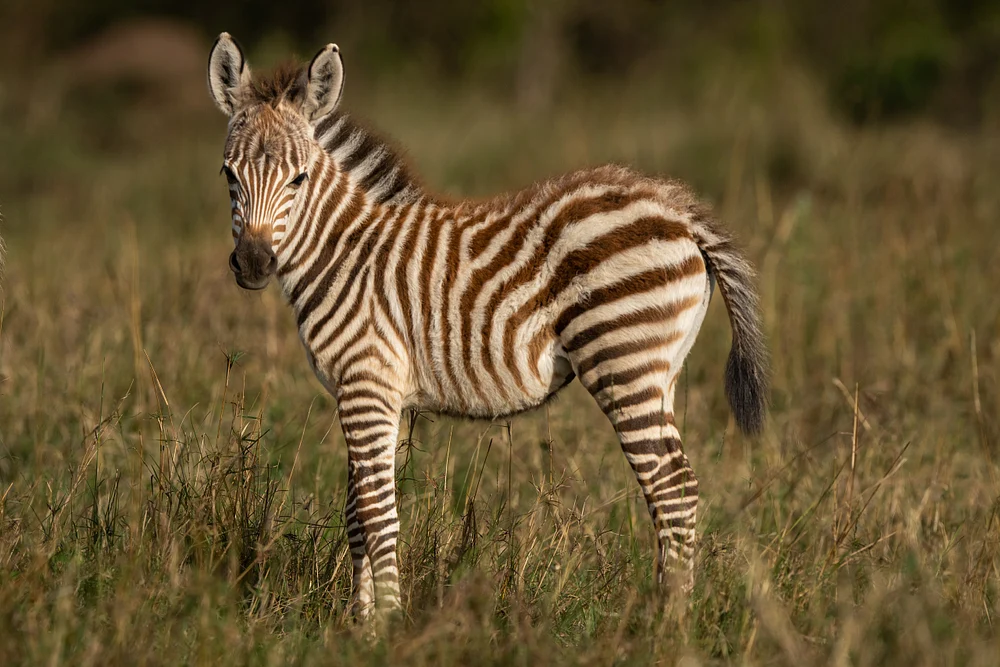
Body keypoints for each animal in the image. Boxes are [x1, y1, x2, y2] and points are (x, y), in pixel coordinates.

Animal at [207, 33, 768, 621]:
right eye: (228, 174)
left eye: (299, 178)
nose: (253, 264)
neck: (345, 252)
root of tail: (677, 208)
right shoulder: (371, 392)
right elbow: (358, 514)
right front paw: (359, 622)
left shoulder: (366, 383)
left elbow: (378, 516)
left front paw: (386, 622)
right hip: (662, 369)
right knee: (675, 487)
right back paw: (669, 612)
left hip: (623, 359)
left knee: (673, 489)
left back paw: (667, 623)